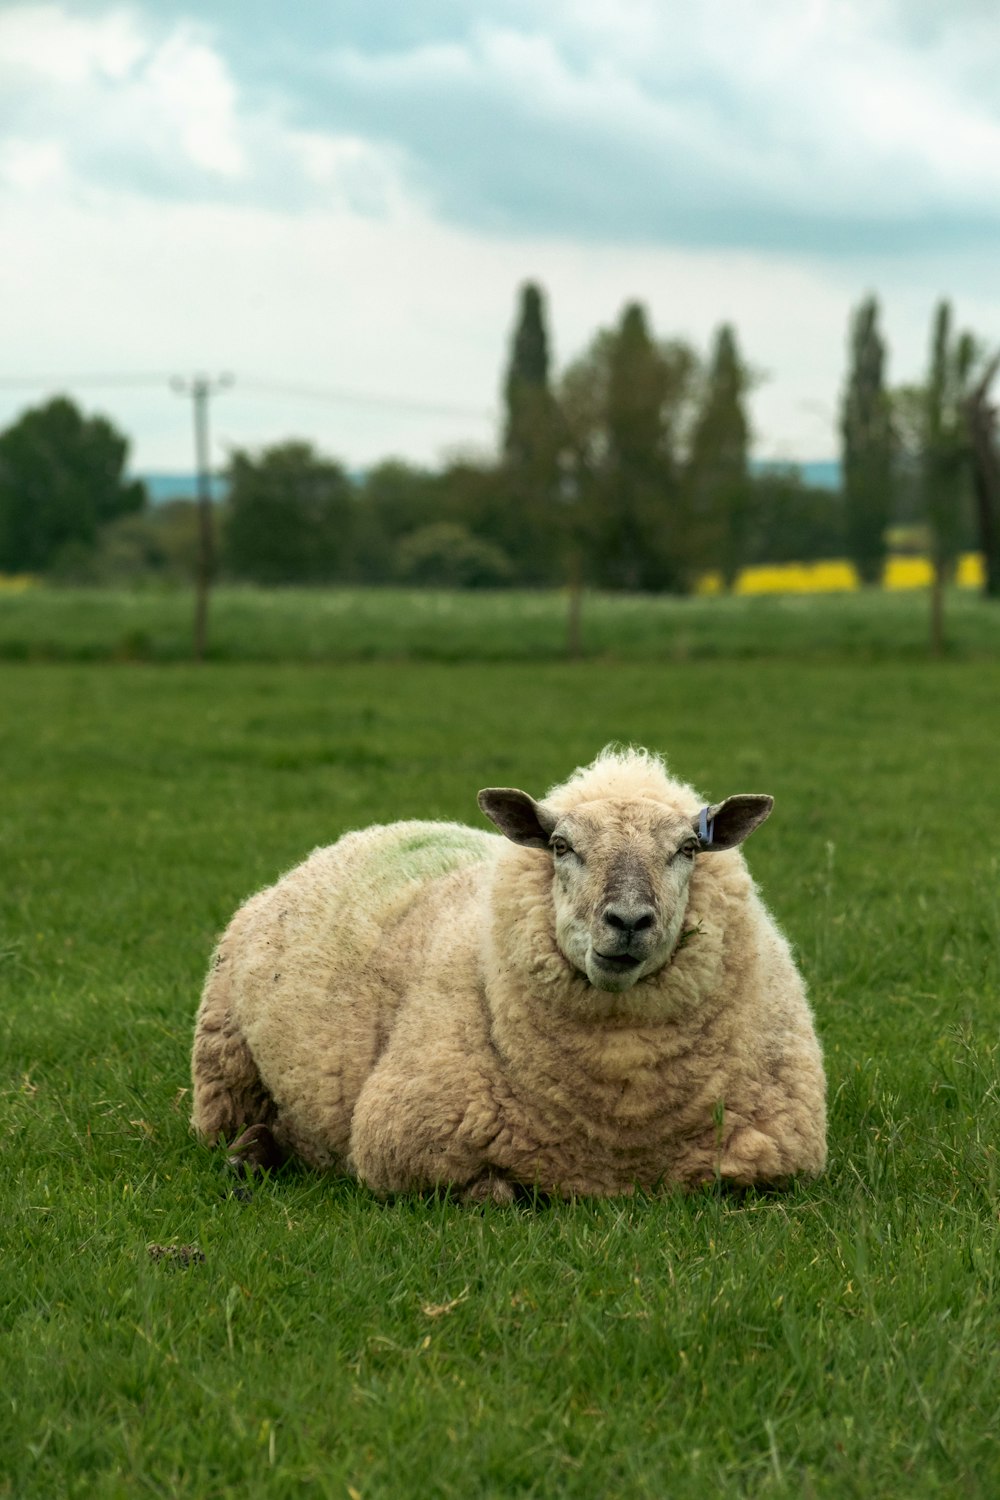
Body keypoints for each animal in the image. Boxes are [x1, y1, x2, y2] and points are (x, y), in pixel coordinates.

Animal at [189, 744, 827, 1200]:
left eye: (689, 849)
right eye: (561, 846)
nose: (627, 921)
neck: (619, 1129)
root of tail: (369, 832)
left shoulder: (776, 1159)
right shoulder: (407, 1145)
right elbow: (502, 1193)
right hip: (225, 1060)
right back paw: (249, 1153)